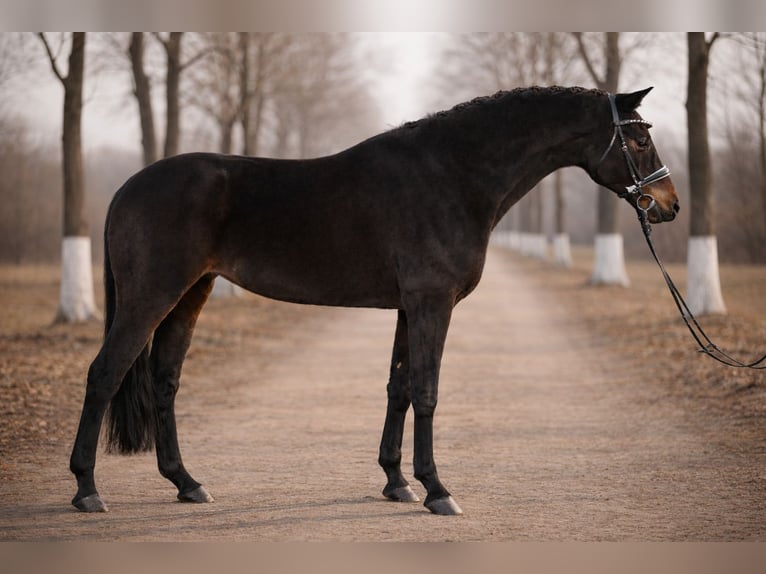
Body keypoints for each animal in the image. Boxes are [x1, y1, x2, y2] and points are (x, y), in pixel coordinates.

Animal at [69, 86, 679, 515]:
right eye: (640, 138)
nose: (668, 204)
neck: (452, 176)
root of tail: (127, 187)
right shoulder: (433, 302)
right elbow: (427, 391)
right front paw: (438, 490)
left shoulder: (410, 306)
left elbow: (399, 388)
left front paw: (396, 481)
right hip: (152, 295)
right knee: (105, 373)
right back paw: (86, 489)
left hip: (190, 294)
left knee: (164, 380)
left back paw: (187, 482)